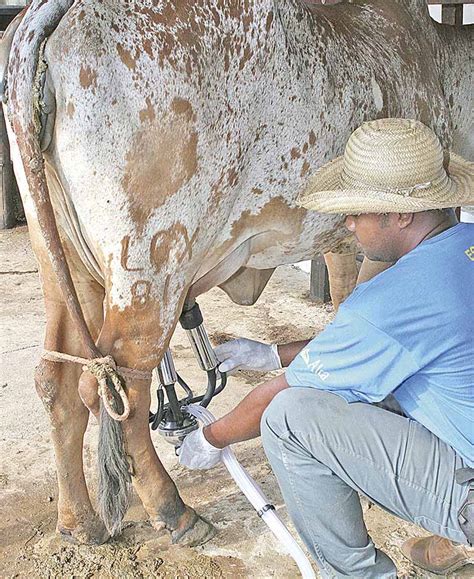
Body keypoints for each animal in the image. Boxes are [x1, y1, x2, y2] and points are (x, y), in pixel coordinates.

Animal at [1, 0, 472, 548]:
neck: (442, 62)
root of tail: (52, 14)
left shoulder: (338, 235)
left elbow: (340, 304)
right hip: (150, 269)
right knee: (121, 391)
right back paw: (173, 510)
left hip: (67, 267)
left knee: (58, 380)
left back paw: (79, 521)